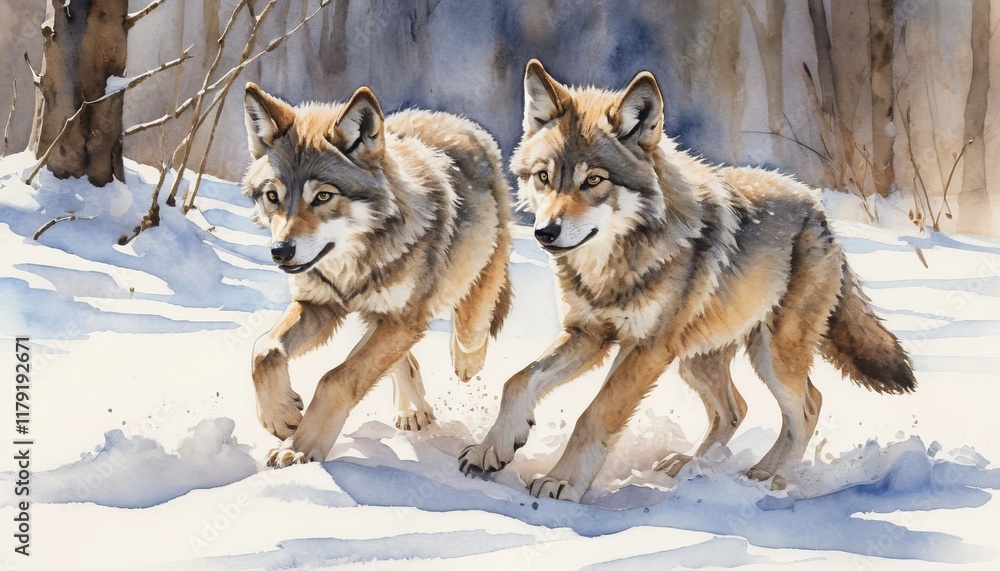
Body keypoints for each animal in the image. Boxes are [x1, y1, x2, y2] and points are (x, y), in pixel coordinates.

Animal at [242, 83, 513, 467]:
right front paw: (281, 417)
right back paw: (413, 410)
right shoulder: (320, 305)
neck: (353, 266)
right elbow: (265, 350)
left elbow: (336, 380)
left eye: (323, 196)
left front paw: (300, 448)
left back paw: (464, 362)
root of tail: (452, 119)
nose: (280, 251)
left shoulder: (402, 319)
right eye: (272, 196)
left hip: (470, 277)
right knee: (396, 355)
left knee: (470, 327)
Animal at [458, 60, 915, 501]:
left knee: (807, 406)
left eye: (594, 180)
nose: (545, 232)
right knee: (737, 408)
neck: (615, 265)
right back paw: (690, 467)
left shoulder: (646, 348)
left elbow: (595, 414)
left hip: (772, 355)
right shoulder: (588, 333)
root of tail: (817, 209)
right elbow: (518, 381)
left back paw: (768, 480)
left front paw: (563, 483)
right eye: (544, 177)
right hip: (697, 359)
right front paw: (491, 449)